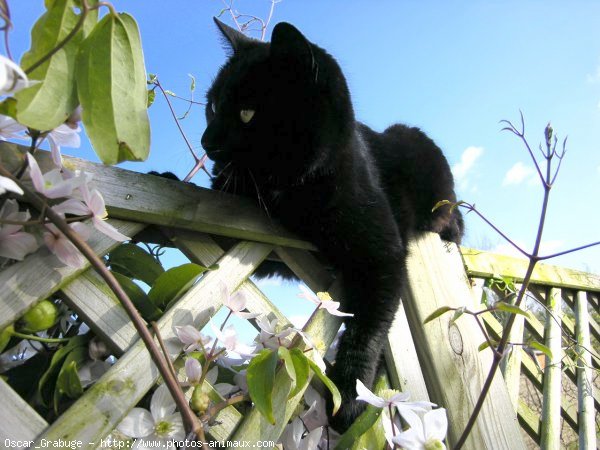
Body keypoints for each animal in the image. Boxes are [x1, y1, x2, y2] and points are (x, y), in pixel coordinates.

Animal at [202, 19, 464, 430]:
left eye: (247, 113)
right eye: (212, 106)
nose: (206, 142)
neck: (292, 195)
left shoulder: (384, 256)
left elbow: (368, 327)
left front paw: (352, 395)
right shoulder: (278, 252)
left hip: (423, 160)